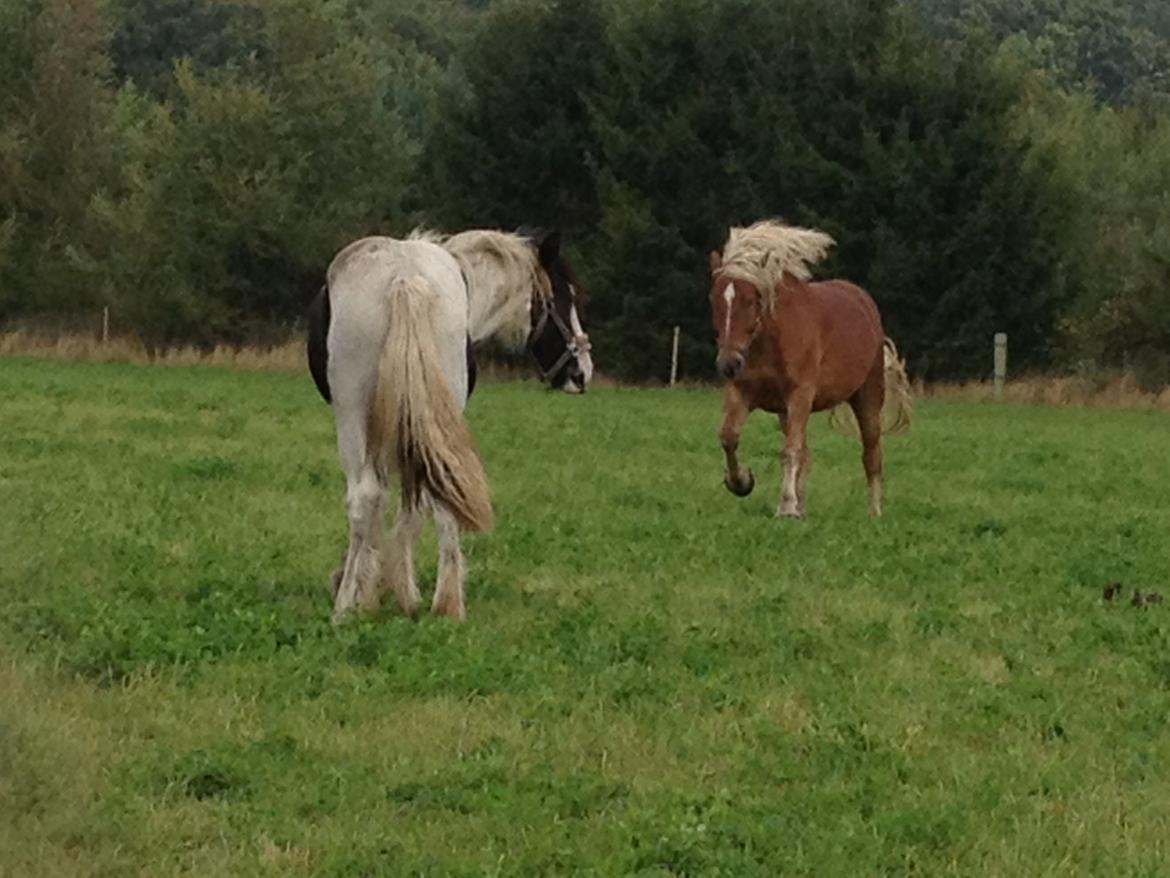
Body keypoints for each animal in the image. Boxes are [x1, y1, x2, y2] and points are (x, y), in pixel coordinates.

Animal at [308, 230, 594, 622]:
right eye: (565, 298)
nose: (582, 373)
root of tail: (404, 276)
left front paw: (378, 586)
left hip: (355, 417)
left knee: (370, 497)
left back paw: (355, 604)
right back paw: (438, 603)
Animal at [706, 220, 907, 519]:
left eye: (751, 300)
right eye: (714, 299)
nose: (728, 364)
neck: (770, 342)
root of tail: (864, 301)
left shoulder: (800, 395)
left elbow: (790, 450)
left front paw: (787, 507)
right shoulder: (742, 393)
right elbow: (729, 438)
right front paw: (742, 482)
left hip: (868, 397)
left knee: (872, 454)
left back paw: (874, 513)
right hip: (786, 412)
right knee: (807, 453)